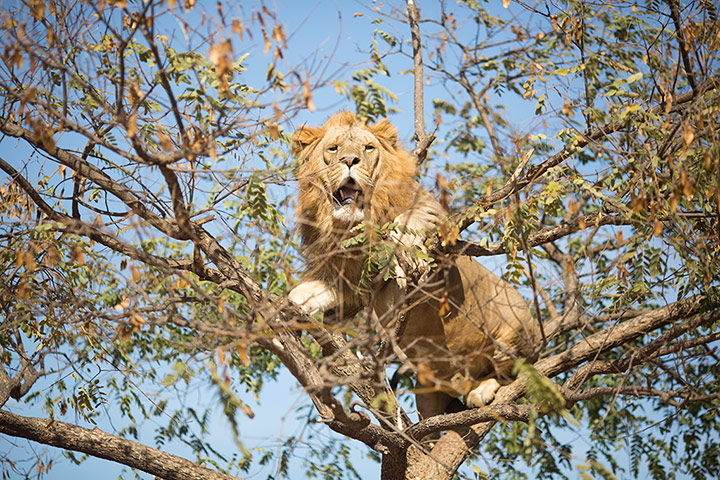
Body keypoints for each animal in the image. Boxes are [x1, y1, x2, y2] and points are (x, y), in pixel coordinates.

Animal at [288, 111, 540, 419]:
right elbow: (306, 293)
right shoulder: (343, 279)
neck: (351, 224)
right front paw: (284, 308)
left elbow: (409, 221)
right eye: (333, 149)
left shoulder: (435, 216)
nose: (349, 161)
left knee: (513, 373)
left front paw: (403, 247)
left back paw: (482, 389)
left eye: (368, 148)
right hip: (427, 390)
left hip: (514, 329)